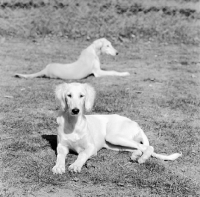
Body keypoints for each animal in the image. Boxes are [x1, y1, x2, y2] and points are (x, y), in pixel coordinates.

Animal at [52, 83, 182, 174]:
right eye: (69, 95)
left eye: (81, 96)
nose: (75, 110)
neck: (73, 123)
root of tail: (136, 124)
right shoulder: (62, 146)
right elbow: (60, 156)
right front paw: (58, 167)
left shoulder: (91, 148)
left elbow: (82, 155)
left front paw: (75, 165)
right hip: (114, 144)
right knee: (139, 148)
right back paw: (136, 156)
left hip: (113, 137)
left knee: (148, 147)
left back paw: (142, 159)